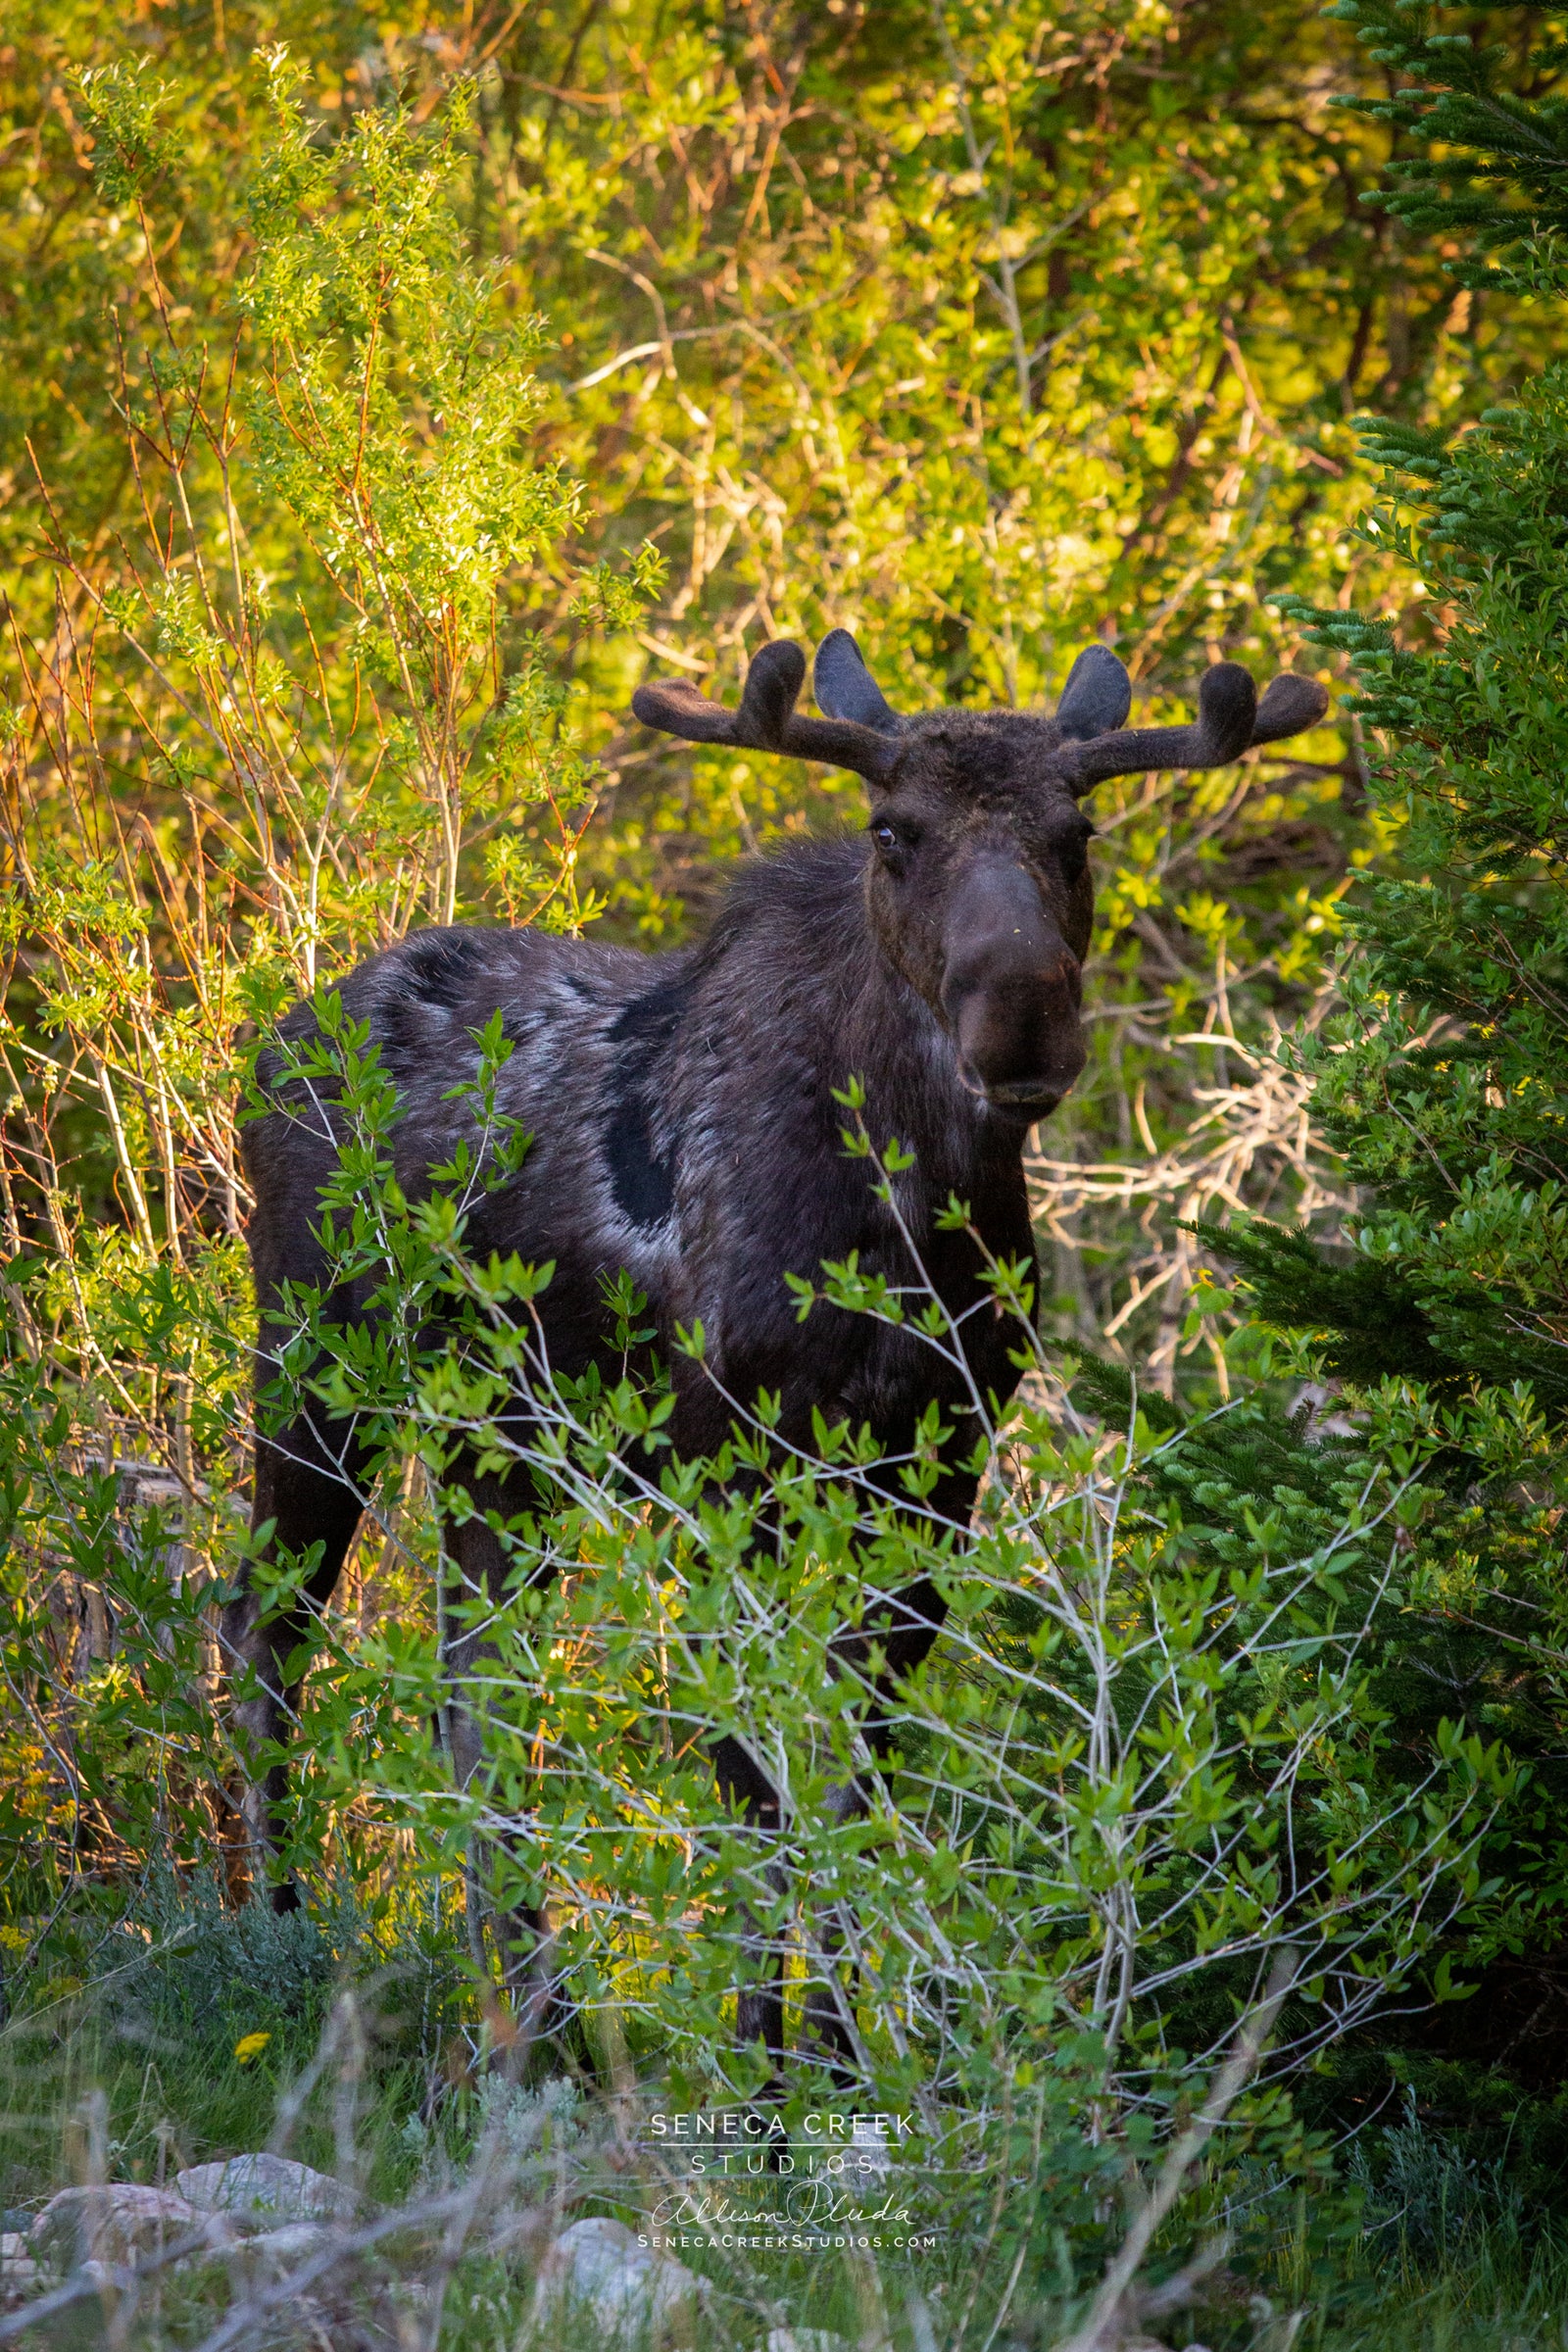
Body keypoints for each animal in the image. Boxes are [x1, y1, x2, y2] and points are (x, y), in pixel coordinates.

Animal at [224, 629, 1327, 2072]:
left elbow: (856, 1765)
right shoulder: (728, 1462)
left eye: (1078, 829)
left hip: (500, 1449)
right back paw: (281, 1942)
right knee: (266, 1629)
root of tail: (274, 1041)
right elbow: (755, 1768)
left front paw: (844, 2057)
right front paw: (767, 2073)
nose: (1022, 1021)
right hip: (317, 1360)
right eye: (891, 829)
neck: (906, 1220)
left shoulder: (937, 1468)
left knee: (474, 1687)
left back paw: (535, 2021)